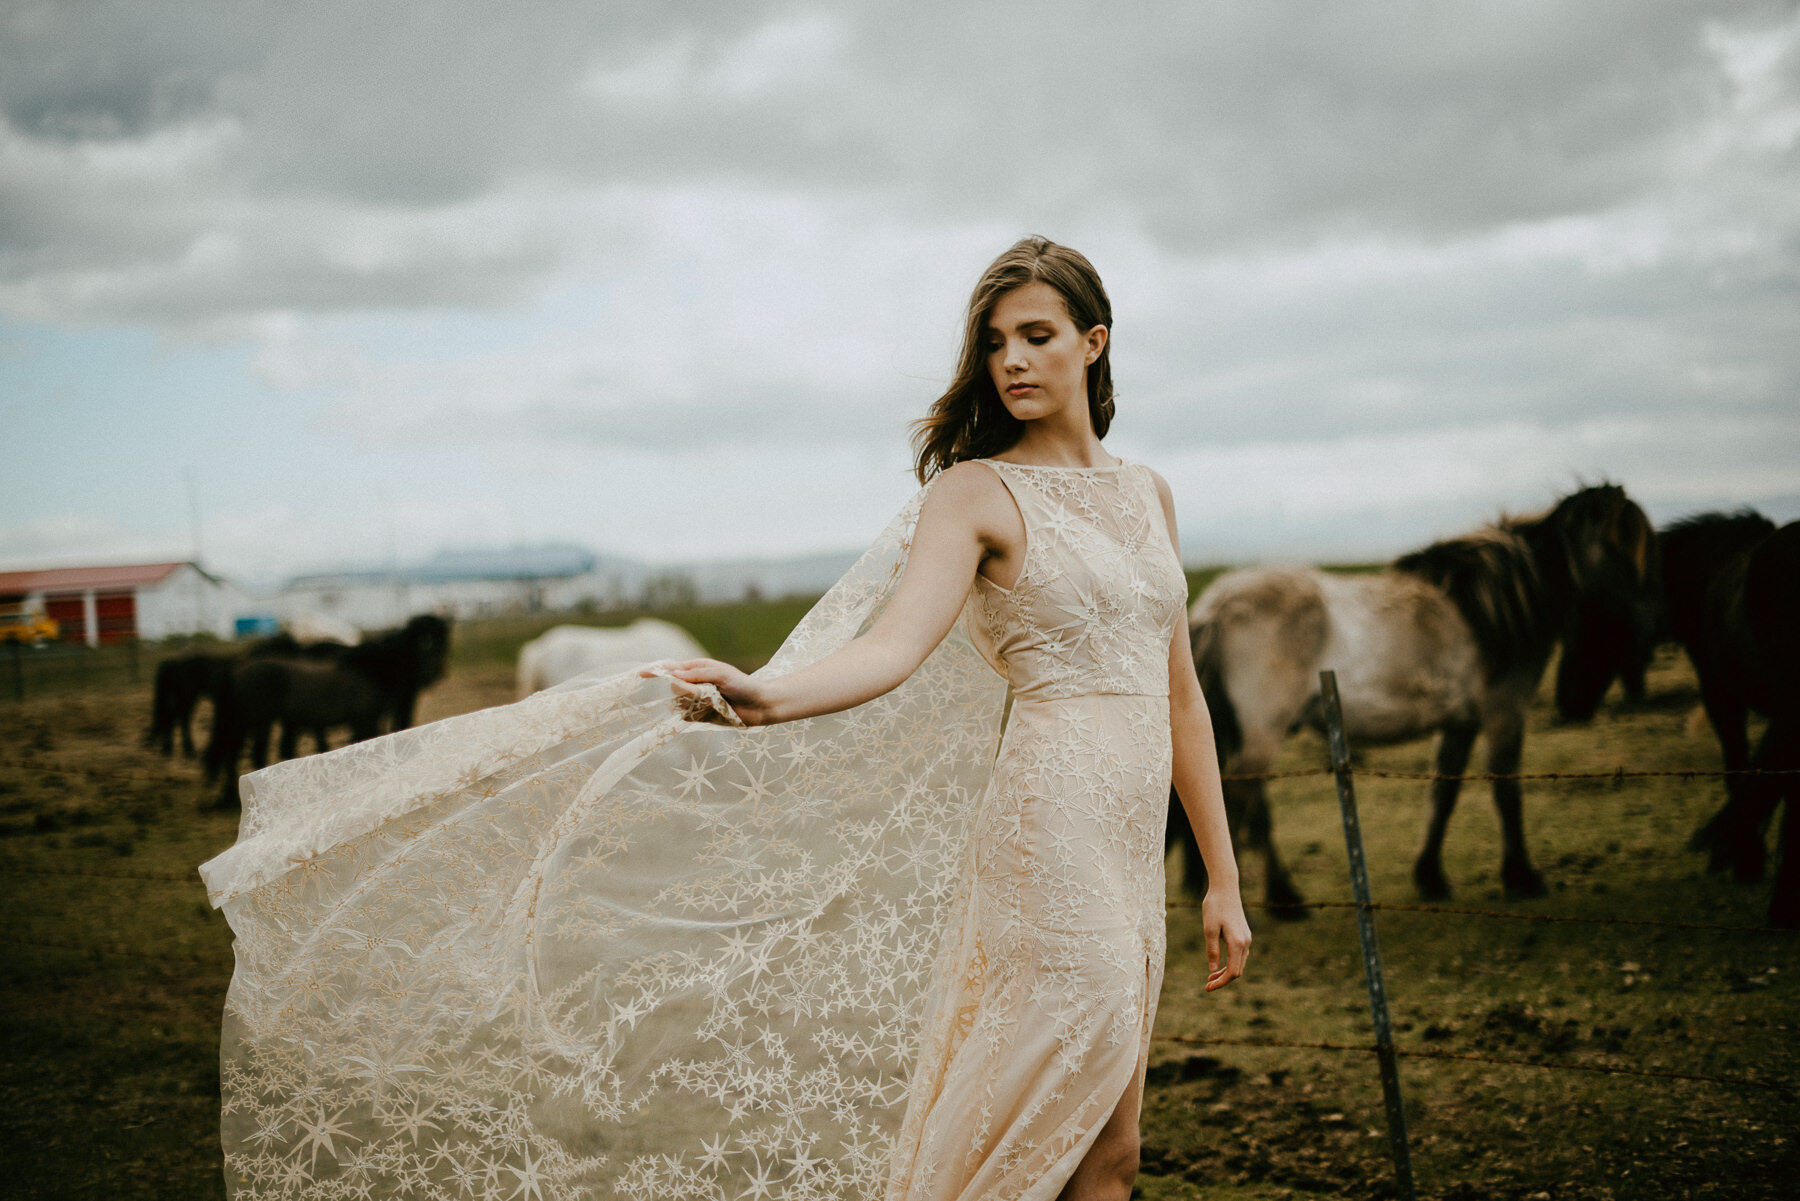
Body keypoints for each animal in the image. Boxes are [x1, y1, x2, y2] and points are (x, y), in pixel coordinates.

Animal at [1166, 478, 1656, 911]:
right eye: (1619, 547)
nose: (1645, 604)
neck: (1489, 608)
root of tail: (1215, 607)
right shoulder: (1504, 715)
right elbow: (1506, 791)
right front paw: (1522, 876)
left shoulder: (1461, 724)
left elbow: (1443, 794)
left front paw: (1431, 876)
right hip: (1264, 732)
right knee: (1245, 803)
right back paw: (1282, 899)